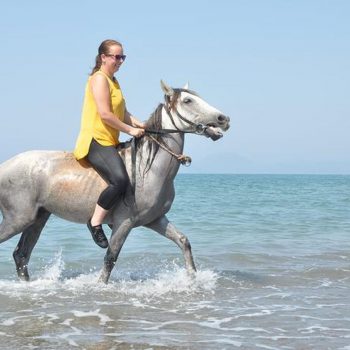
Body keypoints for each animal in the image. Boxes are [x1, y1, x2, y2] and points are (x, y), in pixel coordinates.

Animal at [0, 82, 230, 284]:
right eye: (188, 100)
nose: (224, 119)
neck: (149, 168)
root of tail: (5, 166)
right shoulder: (123, 223)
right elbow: (110, 258)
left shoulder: (155, 219)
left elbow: (184, 241)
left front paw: (192, 279)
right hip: (18, 220)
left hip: (38, 218)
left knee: (21, 255)